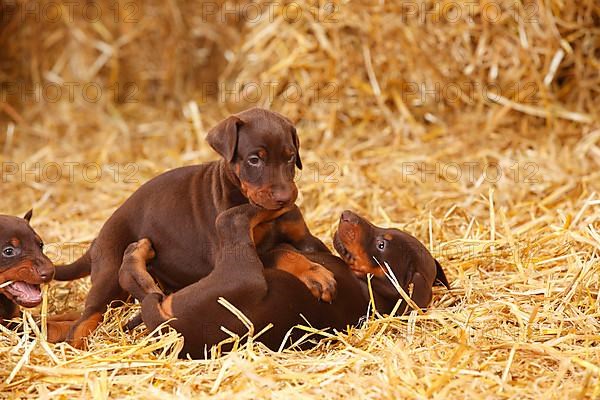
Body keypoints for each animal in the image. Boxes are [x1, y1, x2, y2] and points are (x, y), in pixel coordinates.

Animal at [118, 206, 450, 360]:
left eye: (381, 245)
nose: (346, 214)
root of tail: (172, 327)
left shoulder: (270, 257)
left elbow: (284, 252)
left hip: (244, 273)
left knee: (230, 219)